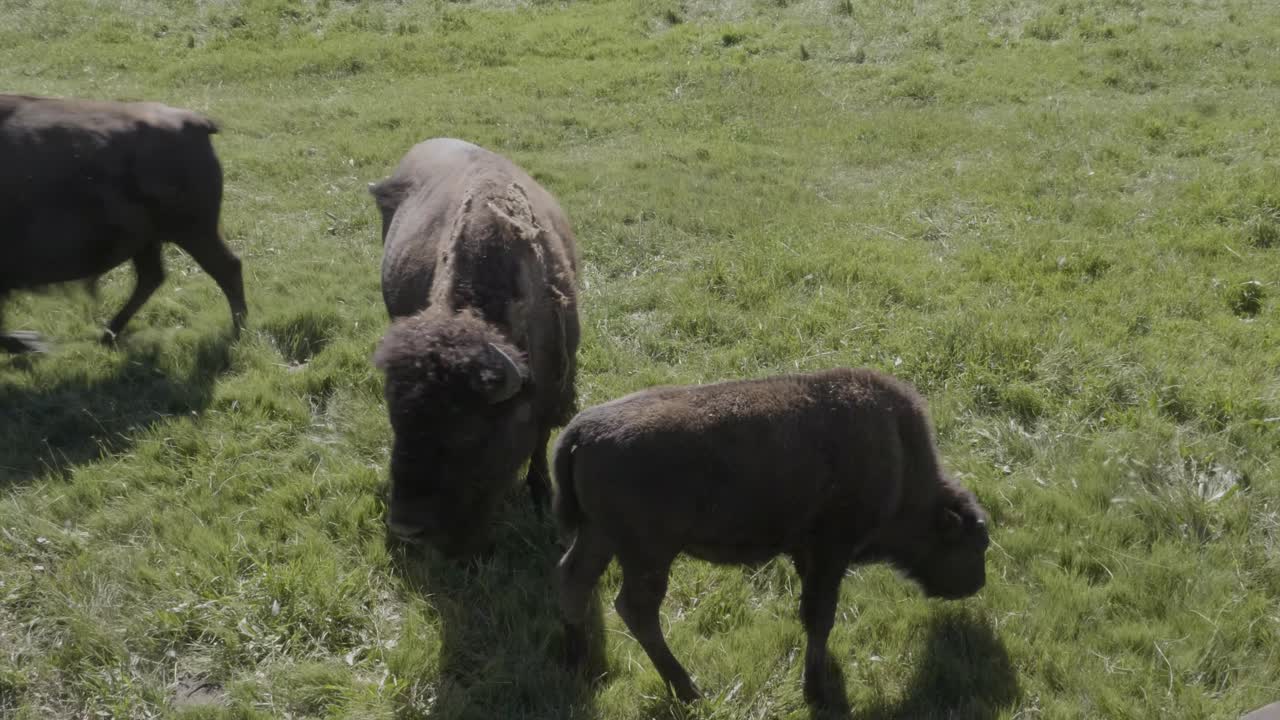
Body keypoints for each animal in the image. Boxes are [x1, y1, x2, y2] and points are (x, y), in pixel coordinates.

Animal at [0, 94, 247, 352]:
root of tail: (195, 122)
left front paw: (31, 343)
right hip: (153, 241)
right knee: (153, 277)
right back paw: (108, 334)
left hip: (193, 232)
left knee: (226, 268)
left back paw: (238, 332)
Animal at [370, 138, 580, 555]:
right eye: (396, 420)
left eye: (466, 432)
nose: (406, 527)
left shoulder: (552, 394)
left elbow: (539, 444)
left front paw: (540, 493)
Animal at [554, 368, 991, 705]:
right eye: (973, 545)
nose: (977, 584)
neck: (899, 455)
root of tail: (581, 430)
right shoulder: (831, 551)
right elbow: (820, 615)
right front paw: (817, 690)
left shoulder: (807, 554)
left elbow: (811, 613)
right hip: (649, 556)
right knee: (636, 609)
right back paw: (689, 690)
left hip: (599, 536)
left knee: (574, 578)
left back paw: (578, 661)